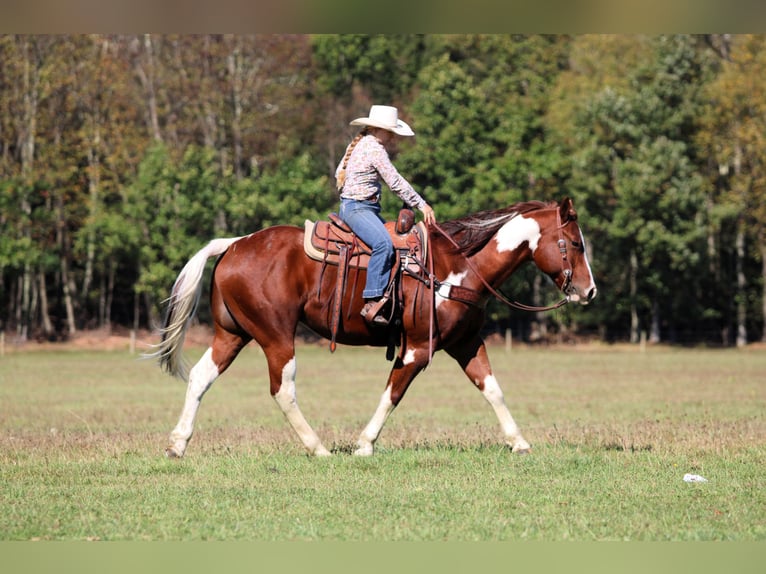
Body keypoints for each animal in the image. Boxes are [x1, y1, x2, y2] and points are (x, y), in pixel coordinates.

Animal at [152, 197, 597, 458]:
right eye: (576, 243)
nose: (589, 291)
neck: (457, 267)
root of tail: (235, 243)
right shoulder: (417, 348)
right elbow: (393, 393)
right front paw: (364, 444)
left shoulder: (467, 343)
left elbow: (492, 389)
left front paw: (518, 441)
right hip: (276, 336)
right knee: (283, 388)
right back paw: (318, 447)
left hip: (233, 334)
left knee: (201, 377)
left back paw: (177, 444)